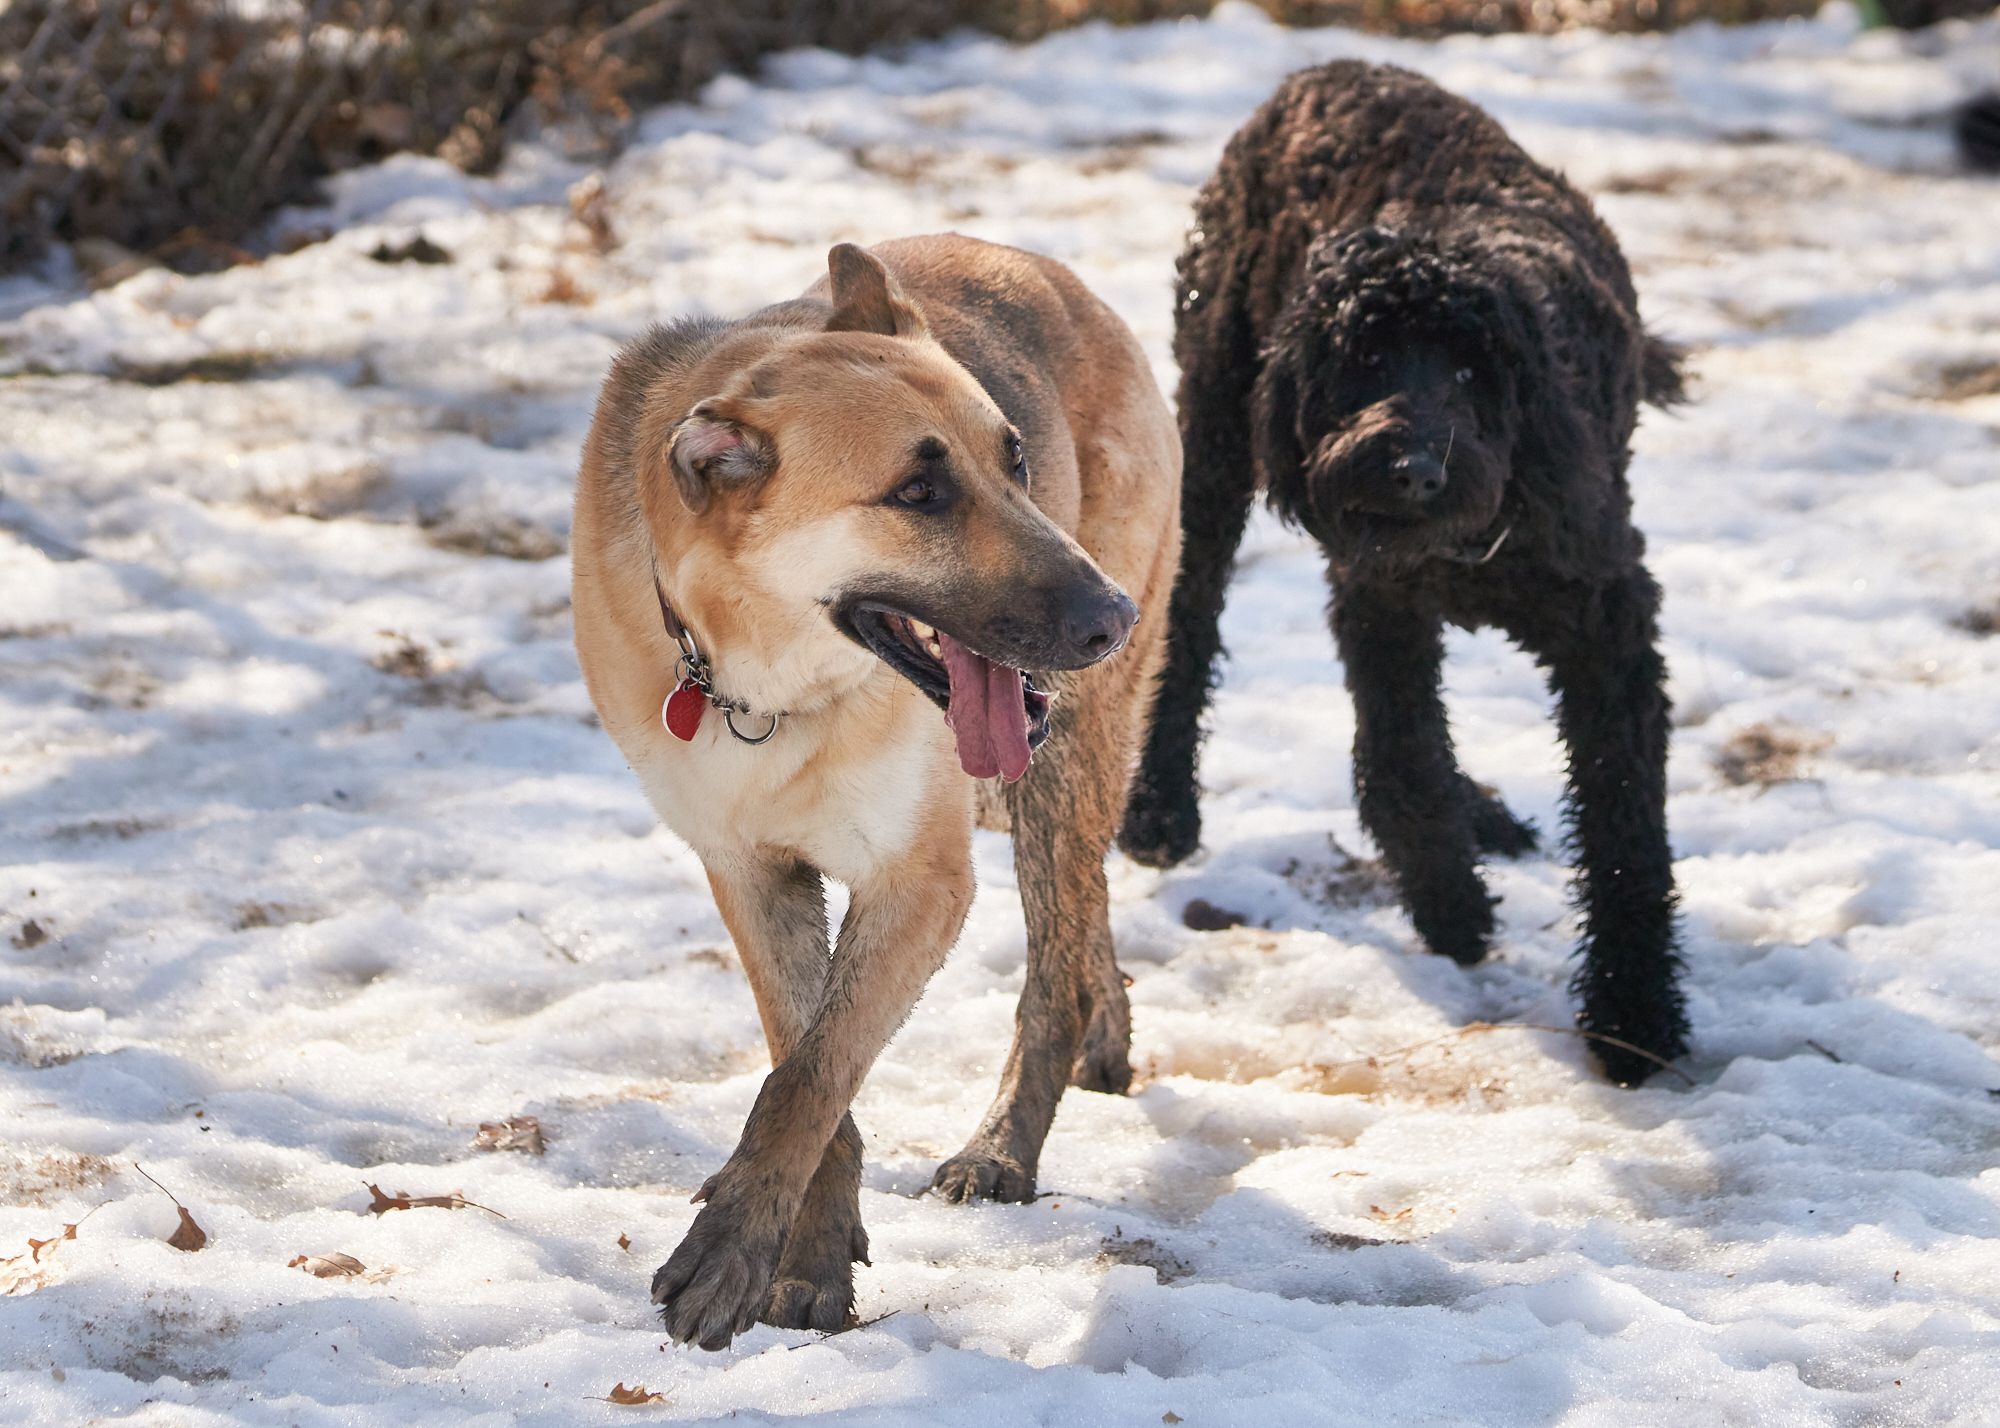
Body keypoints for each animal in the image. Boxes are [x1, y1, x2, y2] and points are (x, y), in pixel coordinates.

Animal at [572, 236, 1176, 1344]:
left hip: (1057, 763)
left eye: (1015, 461)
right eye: (917, 495)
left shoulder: (919, 884)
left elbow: (809, 1077)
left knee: (1057, 964)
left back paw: (1004, 1145)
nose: (1109, 616)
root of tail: (1034, 264)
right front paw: (807, 1253)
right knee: (1084, 921)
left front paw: (737, 1257)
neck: (767, 686)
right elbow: (806, 1060)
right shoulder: (749, 869)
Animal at [1128, 58, 1688, 1080]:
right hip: (1216, 430)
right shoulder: (1378, 600)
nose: (1415, 470)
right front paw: (1451, 903)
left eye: (1474, 373)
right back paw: (1160, 805)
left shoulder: (1609, 632)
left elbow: (1625, 823)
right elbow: (1400, 757)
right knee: (1185, 622)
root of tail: (1326, 68)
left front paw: (1635, 1015)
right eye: (1367, 357)